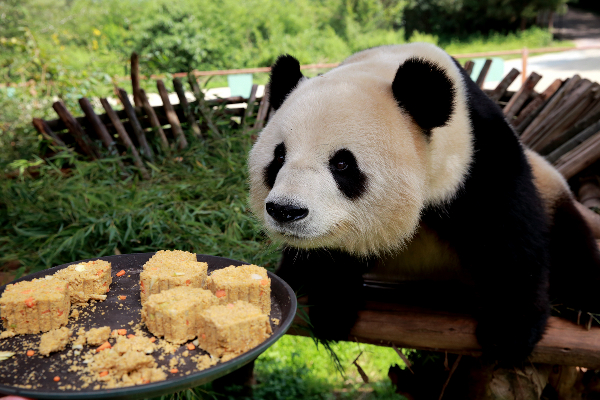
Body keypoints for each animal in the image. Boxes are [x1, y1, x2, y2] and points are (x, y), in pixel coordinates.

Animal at [248, 43, 600, 362]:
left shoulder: (478, 162)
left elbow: (509, 238)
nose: (286, 211)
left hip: (551, 189)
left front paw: (509, 334)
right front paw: (332, 308)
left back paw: (585, 309)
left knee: (570, 241)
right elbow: (327, 256)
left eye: (343, 164)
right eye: (279, 157)